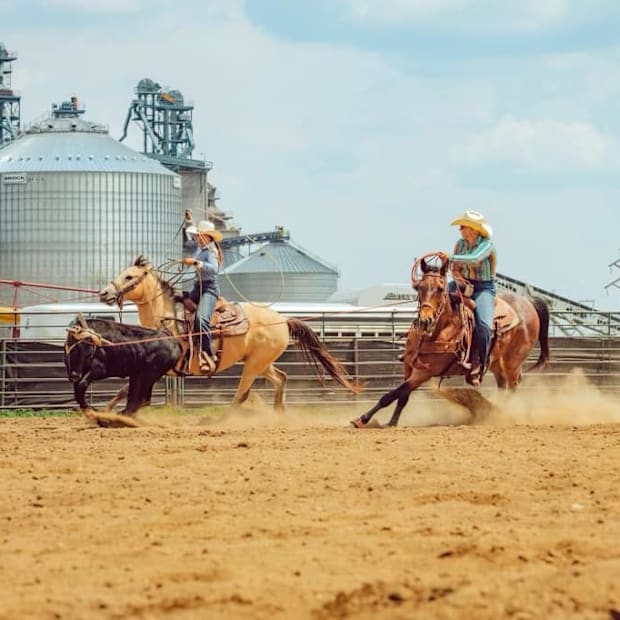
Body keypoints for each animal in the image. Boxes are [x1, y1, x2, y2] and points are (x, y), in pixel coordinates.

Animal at [98, 254, 360, 410]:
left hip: (254, 365)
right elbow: (124, 390)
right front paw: (107, 413)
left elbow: (126, 390)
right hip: (262, 362)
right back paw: (280, 412)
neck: (167, 321)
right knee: (281, 379)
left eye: (129, 276)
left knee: (242, 394)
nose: (103, 293)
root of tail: (283, 320)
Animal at [352, 254, 548, 428]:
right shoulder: (408, 365)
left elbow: (393, 394)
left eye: (440, 289)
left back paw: (500, 415)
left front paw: (362, 419)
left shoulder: (425, 372)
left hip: (512, 363)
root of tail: (528, 302)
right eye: (419, 287)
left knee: (513, 387)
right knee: (503, 386)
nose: (425, 321)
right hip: (497, 364)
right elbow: (402, 396)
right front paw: (392, 422)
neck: (435, 332)